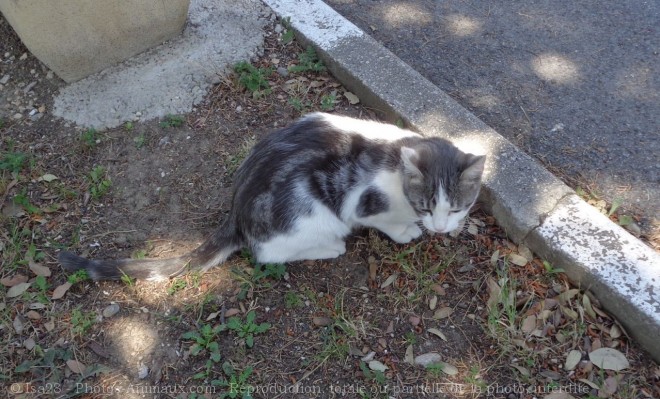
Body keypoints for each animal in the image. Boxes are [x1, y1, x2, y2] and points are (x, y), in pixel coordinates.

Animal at [59, 112, 484, 282]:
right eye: (426, 205)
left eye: (456, 207)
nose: (440, 228)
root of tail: (236, 209)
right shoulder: (363, 202)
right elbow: (386, 221)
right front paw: (406, 231)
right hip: (310, 213)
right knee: (267, 253)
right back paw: (329, 247)